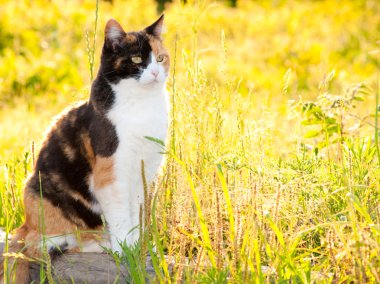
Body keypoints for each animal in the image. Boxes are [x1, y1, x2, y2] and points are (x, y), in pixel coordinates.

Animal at [2, 15, 169, 282]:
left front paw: (139, 245)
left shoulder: (143, 173)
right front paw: (124, 249)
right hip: (39, 192)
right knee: (49, 245)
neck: (142, 107)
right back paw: (103, 243)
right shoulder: (110, 176)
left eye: (161, 58)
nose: (154, 72)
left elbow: (135, 215)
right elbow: (121, 217)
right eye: (136, 60)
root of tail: (25, 225)